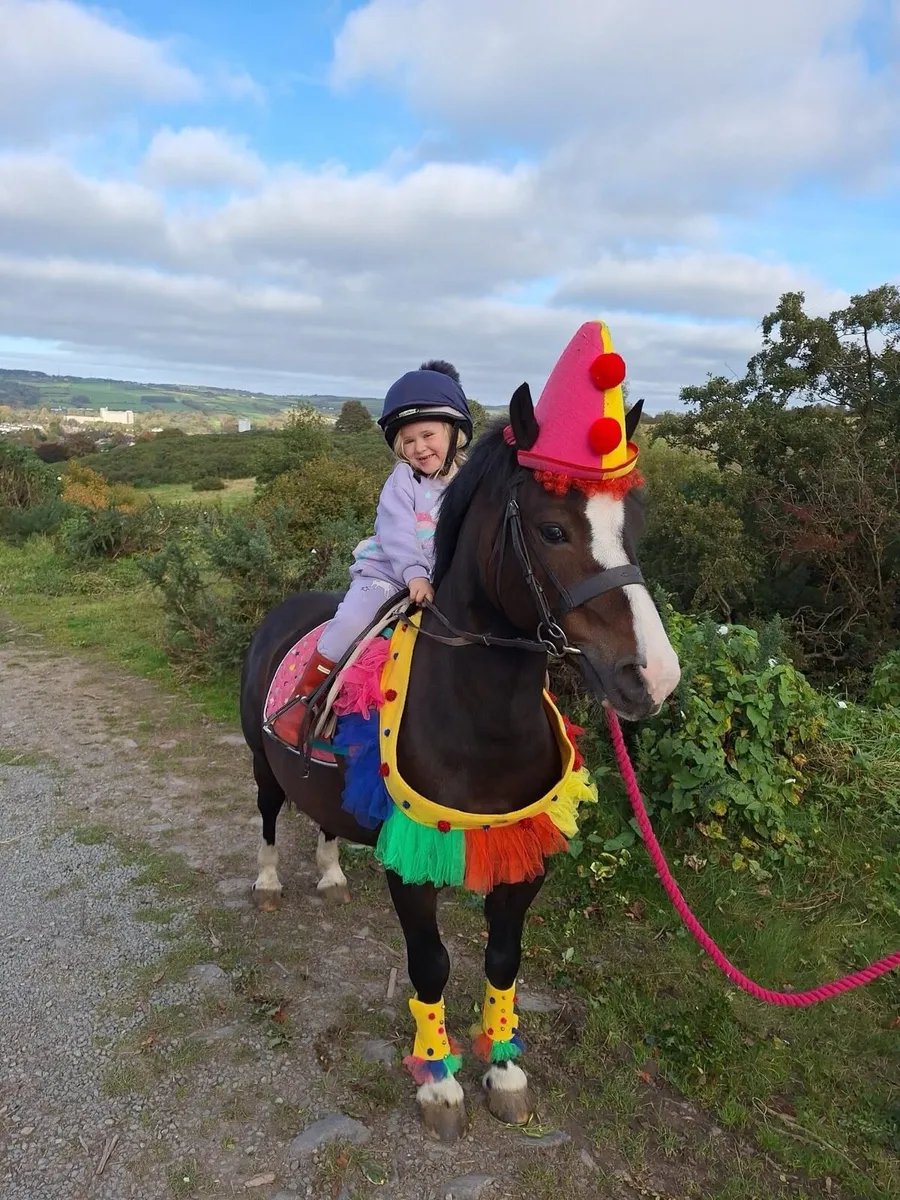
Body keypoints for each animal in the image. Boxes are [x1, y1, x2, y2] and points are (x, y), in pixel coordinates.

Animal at [239, 397, 680, 1142]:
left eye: (634, 528)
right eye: (554, 528)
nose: (653, 675)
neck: (479, 713)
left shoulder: (524, 856)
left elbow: (503, 958)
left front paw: (504, 1071)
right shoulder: (412, 861)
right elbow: (431, 965)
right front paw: (440, 1084)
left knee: (324, 818)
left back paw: (330, 876)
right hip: (260, 762)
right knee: (270, 815)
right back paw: (270, 883)